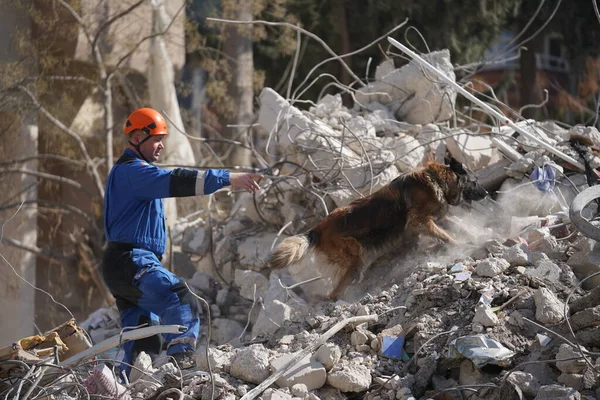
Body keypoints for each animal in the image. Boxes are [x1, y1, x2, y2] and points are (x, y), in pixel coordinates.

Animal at [268, 157, 488, 300]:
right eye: (475, 181)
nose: (486, 193)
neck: (437, 180)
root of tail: (318, 228)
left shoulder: (435, 218)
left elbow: (455, 227)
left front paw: (476, 236)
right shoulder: (420, 221)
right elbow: (446, 235)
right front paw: (459, 245)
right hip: (355, 260)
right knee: (334, 292)